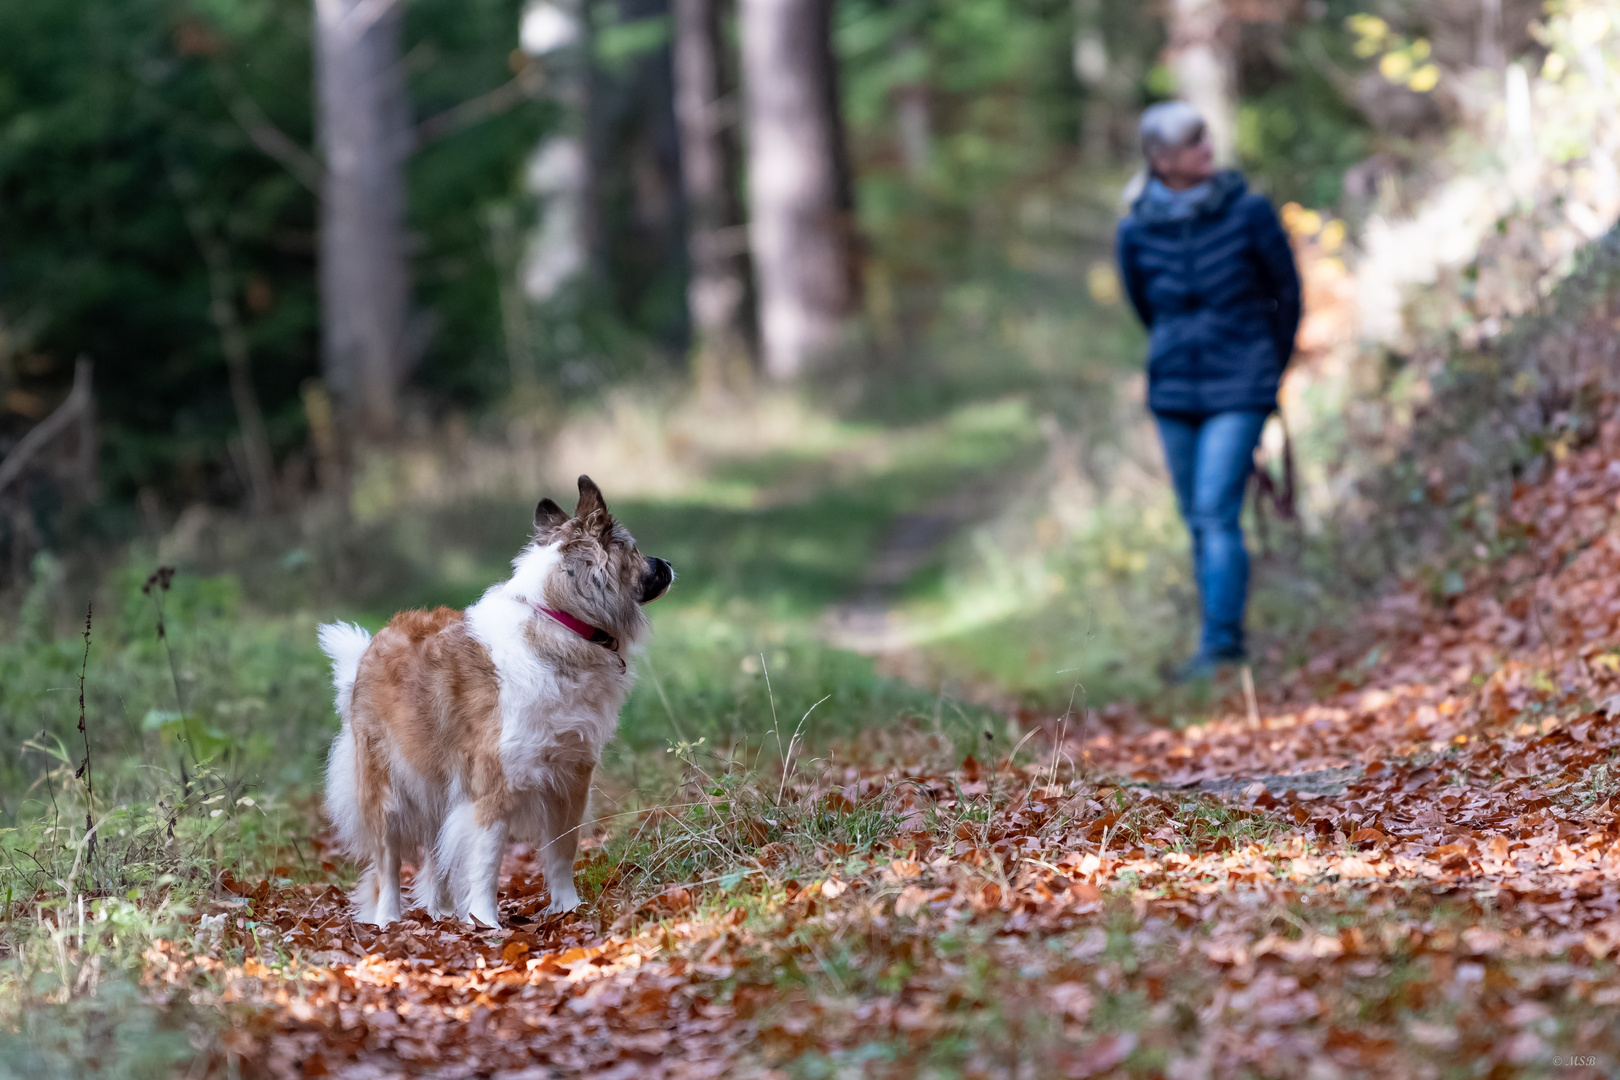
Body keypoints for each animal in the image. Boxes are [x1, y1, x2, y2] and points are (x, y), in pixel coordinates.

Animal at [319, 479, 673, 932]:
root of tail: (368, 649)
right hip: (387, 792)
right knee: (388, 863)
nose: (668, 564)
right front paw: (485, 922)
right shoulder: (494, 786)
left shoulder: (570, 778)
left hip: (439, 787)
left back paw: (440, 913)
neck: (558, 621)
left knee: (435, 856)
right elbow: (486, 862)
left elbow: (561, 853)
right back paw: (389, 921)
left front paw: (568, 910)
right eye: (635, 549)